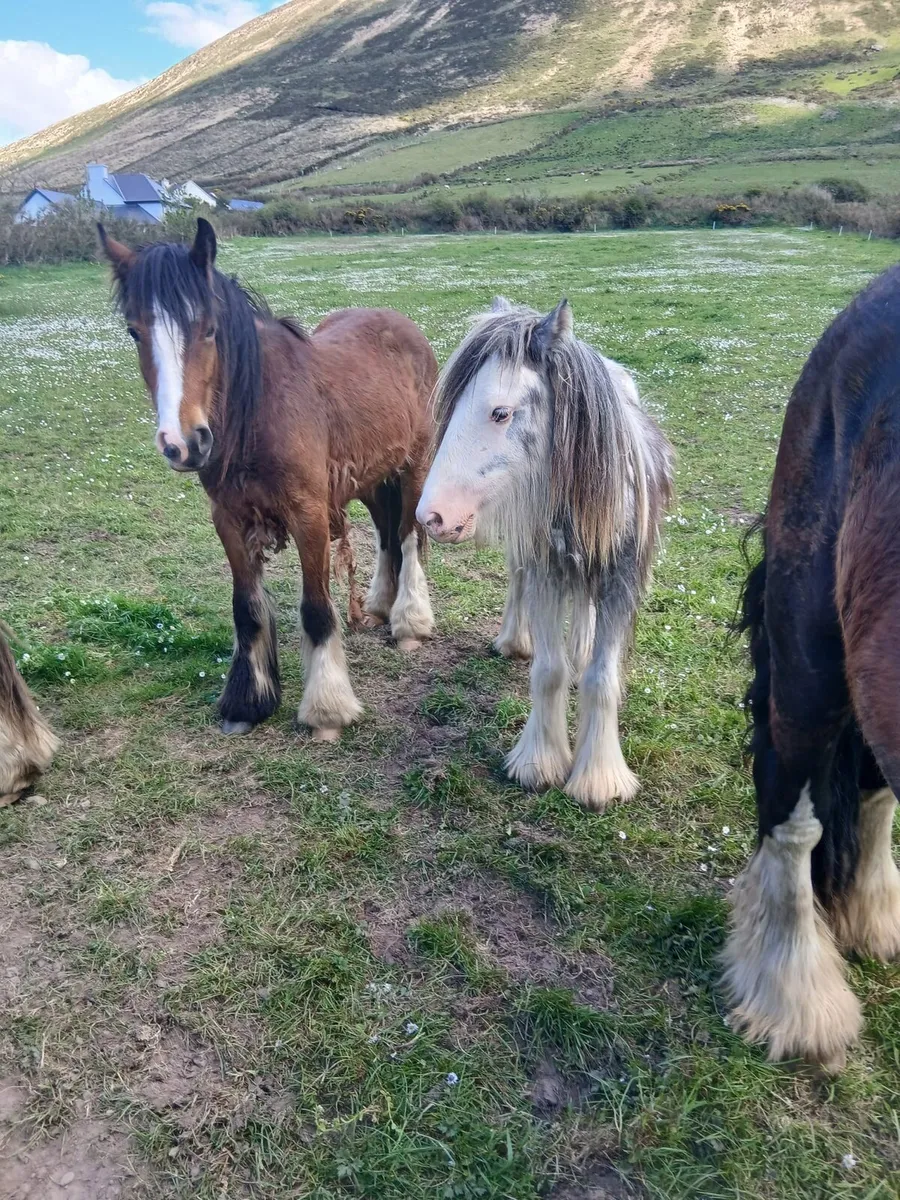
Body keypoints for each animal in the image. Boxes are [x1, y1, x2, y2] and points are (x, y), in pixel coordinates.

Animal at [99, 218, 436, 741]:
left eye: (210, 329)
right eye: (135, 331)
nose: (184, 443)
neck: (258, 412)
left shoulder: (309, 516)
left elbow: (316, 609)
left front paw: (327, 712)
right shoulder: (230, 521)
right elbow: (247, 607)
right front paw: (246, 702)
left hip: (413, 465)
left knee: (407, 535)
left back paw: (409, 624)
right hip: (370, 477)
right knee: (385, 532)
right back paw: (381, 605)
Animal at [416, 297, 674, 810]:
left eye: (500, 413)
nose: (430, 517)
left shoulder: (621, 579)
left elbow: (600, 677)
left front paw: (599, 779)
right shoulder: (545, 571)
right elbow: (549, 671)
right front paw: (538, 762)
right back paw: (514, 640)